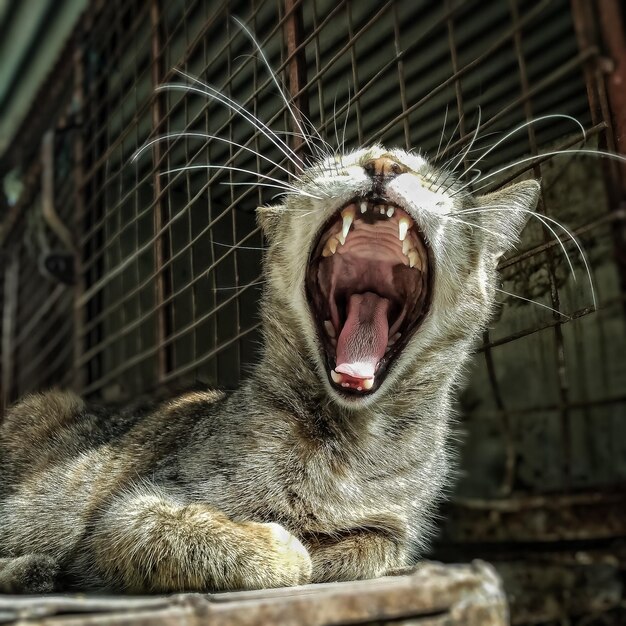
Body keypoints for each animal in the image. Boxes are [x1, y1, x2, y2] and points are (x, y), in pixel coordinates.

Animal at [0, 140, 536, 588]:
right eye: (341, 158)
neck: (348, 442)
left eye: (430, 176)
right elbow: (179, 531)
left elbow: (373, 547)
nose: (384, 163)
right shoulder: (130, 510)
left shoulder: (395, 529)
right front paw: (281, 546)